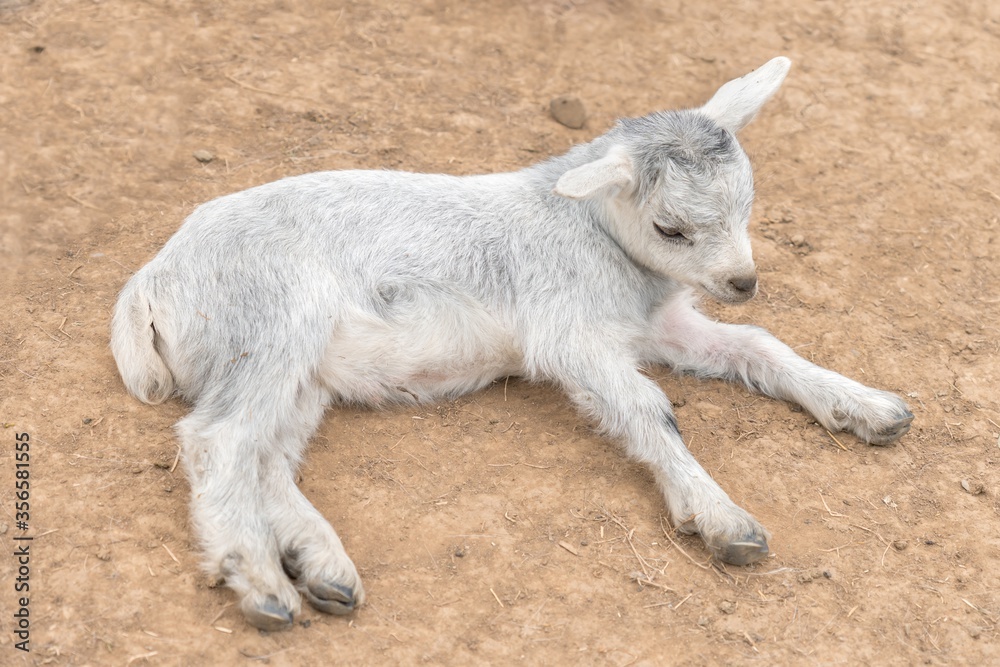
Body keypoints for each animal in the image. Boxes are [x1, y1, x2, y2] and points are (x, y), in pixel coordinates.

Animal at [111, 57, 913, 630]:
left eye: (749, 202)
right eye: (671, 228)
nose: (742, 280)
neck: (590, 229)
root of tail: (153, 277)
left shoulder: (661, 322)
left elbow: (758, 345)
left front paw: (869, 407)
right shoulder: (569, 334)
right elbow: (648, 408)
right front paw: (720, 518)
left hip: (300, 366)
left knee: (267, 453)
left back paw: (322, 567)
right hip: (268, 319)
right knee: (218, 438)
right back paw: (258, 582)